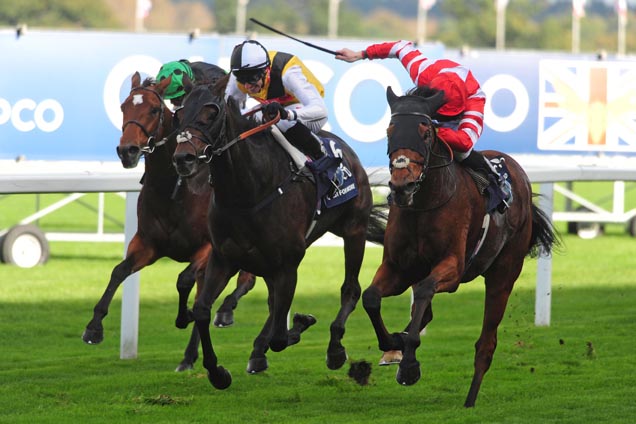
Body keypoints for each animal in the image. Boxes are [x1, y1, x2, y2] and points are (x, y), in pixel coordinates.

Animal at [82, 71, 256, 370]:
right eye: (123, 107)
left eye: (154, 109)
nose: (127, 150)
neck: (175, 190)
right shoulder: (148, 244)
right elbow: (118, 271)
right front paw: (94, 327)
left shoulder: (208, 248)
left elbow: (184, 280)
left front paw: (184, 316)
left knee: (241, 283)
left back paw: (221, 317)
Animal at [171, 78, 386, 390]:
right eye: (178, 113)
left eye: (211, 112)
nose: (183, 158)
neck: (246, 192)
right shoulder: (224, 258)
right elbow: (201, 310)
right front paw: (217, 372)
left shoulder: (287, 263)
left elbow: (280, 337)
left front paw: (302, 324)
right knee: (274, 305)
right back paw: (258, 353)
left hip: (353, 230)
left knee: (350, 288)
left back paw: (334, 348)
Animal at [362, 86, 560, 408]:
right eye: (390, 130)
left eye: (425, 131)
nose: (402, 185)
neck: (425, 203)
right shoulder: (398, 268)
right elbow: (371, 298)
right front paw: (393, 344)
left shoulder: (453, 268)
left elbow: (424, 291)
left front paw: (409, 364)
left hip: (503, 274)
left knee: (486, 343)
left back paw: (470, 399)